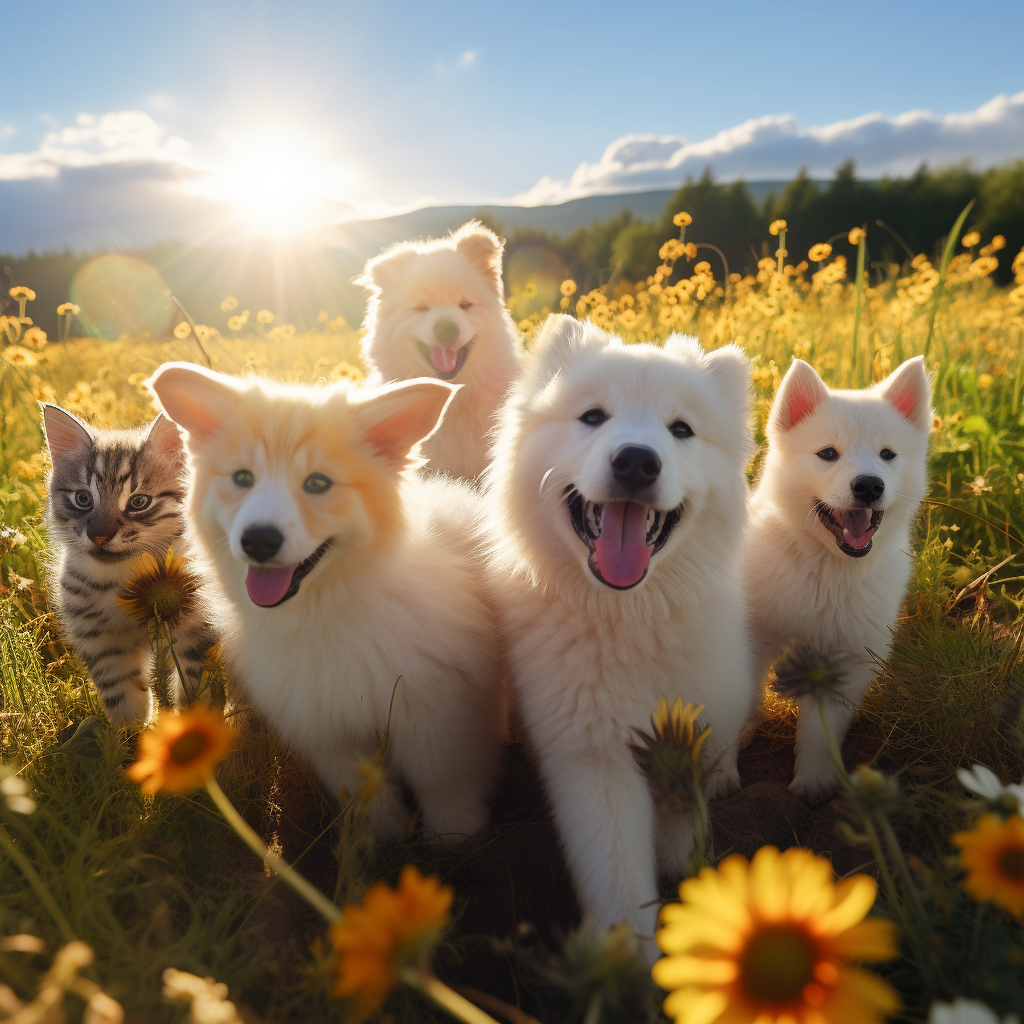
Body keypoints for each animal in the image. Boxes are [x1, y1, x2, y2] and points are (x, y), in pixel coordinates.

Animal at [43, 401, 217, 729]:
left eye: (139, 502)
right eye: (83, 498)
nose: (98, 535)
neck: (122, 580)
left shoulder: (200, 631)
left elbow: (197, 693)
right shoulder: (104, 644)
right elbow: (124, 699)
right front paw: (136, 736)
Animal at [483, 313, 757, 950]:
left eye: (681, 430)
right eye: (592, 417)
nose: (636, 461)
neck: (627, 615)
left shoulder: (693, 720)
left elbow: (683, 809)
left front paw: (682, 858)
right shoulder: (592, 755)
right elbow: (617, 877)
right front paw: (627, 954)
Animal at [741, 356, 933, 802]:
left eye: (887, 454)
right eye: (828, 454)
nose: (869, 485)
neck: (826, 570)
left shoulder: (850, 657)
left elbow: (819, 732)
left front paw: (813, 781)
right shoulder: (751, 637)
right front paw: (718, 775)